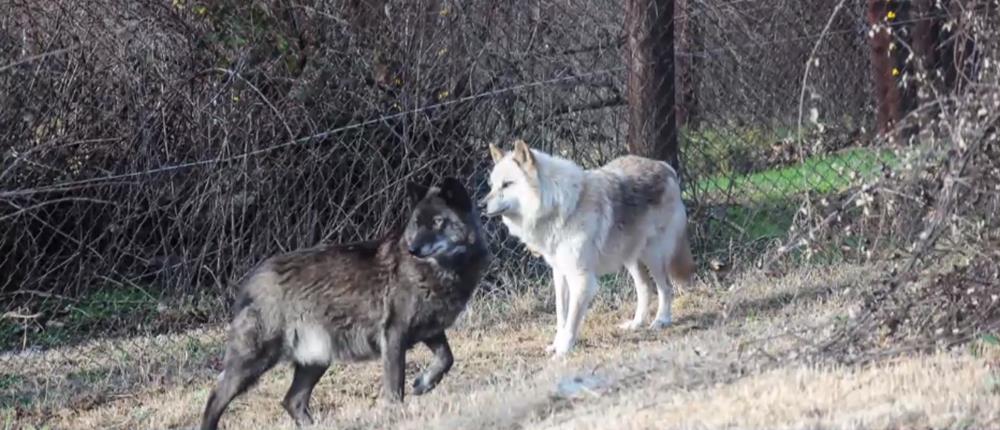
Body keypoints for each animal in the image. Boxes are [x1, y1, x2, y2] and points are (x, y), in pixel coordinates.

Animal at [480, 140, 692, 356]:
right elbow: (561, 315)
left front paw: (563, 350)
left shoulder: (581, 278)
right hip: (631, 259)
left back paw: (661, 320)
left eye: (507, 184)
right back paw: (636, 324)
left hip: (653, 257)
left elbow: (572, 320)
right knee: (645, 288)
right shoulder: (560, 274)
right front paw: (556, 345)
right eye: (492, 186)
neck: (560, 207)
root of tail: (665, 167)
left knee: (665, 287)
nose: (480, 205)